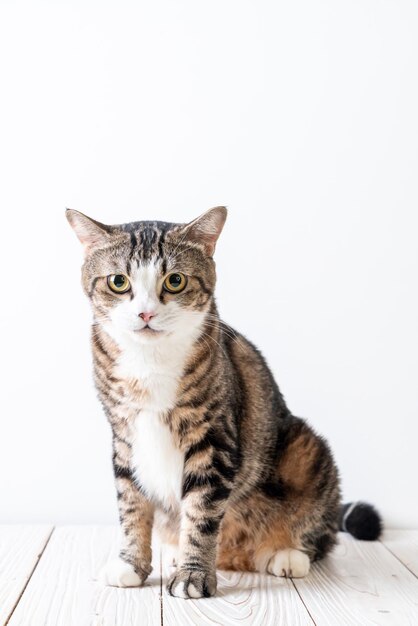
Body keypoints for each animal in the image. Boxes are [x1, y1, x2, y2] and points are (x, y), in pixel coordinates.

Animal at [66, 205, 382, 596]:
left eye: (175, 281)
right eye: (118, 282)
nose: (145, 313)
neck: (149, 361)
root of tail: (236, 555)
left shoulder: (212, 439)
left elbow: (201, 513)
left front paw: (193, 575)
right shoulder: (124, 437)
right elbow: (132, 504)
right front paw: (130, 565)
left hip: (305, 450)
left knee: (317, 531)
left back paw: (285, 553)